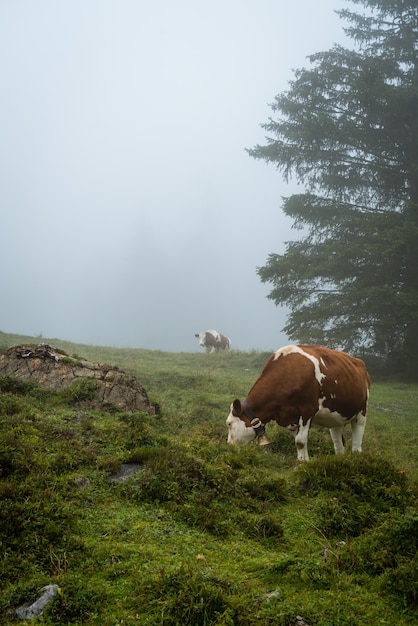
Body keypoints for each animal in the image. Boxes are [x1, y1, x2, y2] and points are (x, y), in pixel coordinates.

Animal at [227, 344, 370, 460]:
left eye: (229, 424)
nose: (229, 446)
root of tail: (360, 362)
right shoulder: (290, 418)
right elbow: (300, 441)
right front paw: (304, 463)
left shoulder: (307, 410)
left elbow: (300, 441)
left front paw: (301, 465)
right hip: (335, 418)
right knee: (338, 444)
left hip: (362, 411)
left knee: (357, 442)